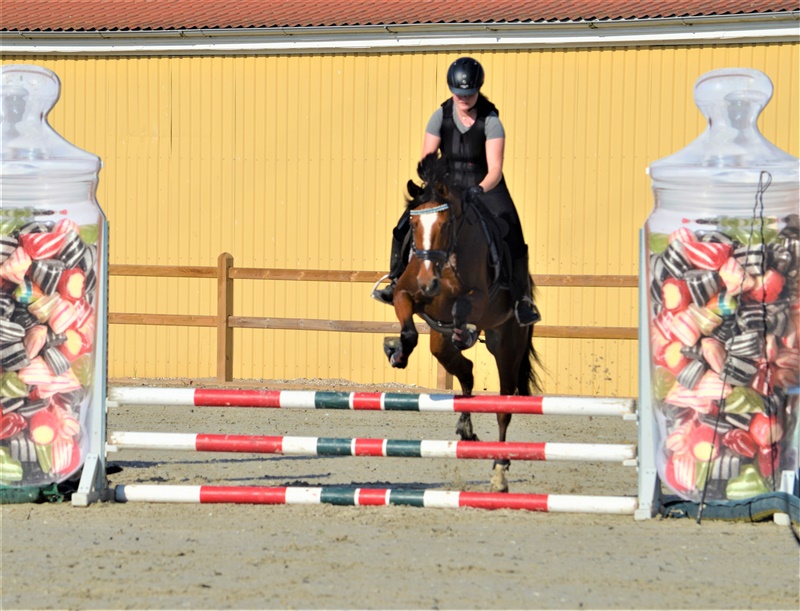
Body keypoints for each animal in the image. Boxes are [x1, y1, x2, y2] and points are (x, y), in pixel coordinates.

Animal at [383, 152, 542, 493]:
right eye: (412, 223)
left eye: (445, 224)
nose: (428, 282)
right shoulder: (406, 293)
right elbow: (407, 323)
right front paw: (396, 350)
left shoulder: (477, 298)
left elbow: (463, 307)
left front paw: (463, 331)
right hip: (441, 345)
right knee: (464, 368)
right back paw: (466, 428)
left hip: (507, 344)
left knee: (504, 407)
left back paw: (500, 471)